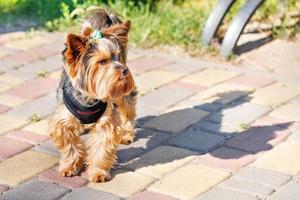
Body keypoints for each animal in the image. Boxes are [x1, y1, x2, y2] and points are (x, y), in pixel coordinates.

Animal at [49, 8, 137, 182]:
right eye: (102, 62)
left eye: (117, 57)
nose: (124, 70)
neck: (89, 98)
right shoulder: (63, 121)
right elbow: (70, 146)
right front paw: (69, 167)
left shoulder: (106, 122)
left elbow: (101, 148)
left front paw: (98, 172)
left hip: (123, 96)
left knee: (128, 112)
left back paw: (126, 134)